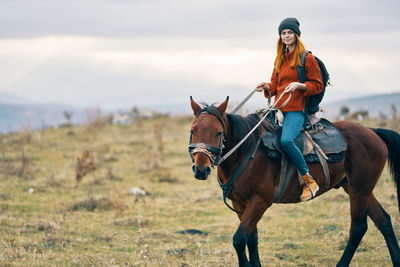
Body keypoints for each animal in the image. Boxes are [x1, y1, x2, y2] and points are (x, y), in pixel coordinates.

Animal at [188, 97, 400, 267]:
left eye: (218, 132)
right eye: (193, 130)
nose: (201, 169)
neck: (246, 153)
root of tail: (372, 131)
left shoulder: (260, 201)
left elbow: (239, 239)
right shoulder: (240, 203)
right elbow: (251, 239)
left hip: (359, 190)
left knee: (358, 228)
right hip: (358, 188)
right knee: (383, 221)